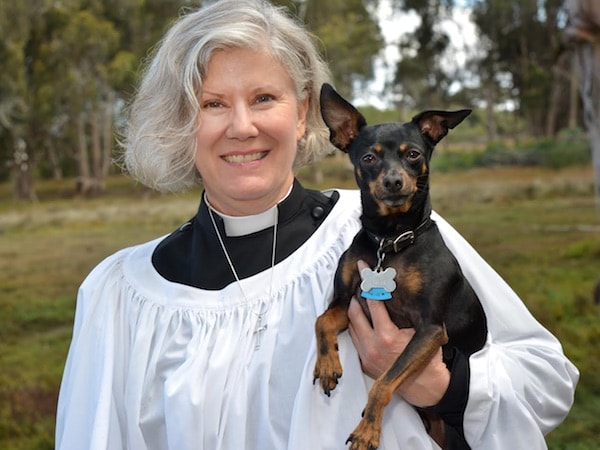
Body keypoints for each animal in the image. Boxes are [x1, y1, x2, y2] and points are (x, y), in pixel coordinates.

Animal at [314, 84, 488, 450]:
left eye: (413, 155)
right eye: (368, 158)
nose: (394, 181)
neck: (390, 240)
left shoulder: (430, 330)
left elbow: (384, 380)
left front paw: (367, 429)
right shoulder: (346, 302)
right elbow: (321, 320)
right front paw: (327, 364)